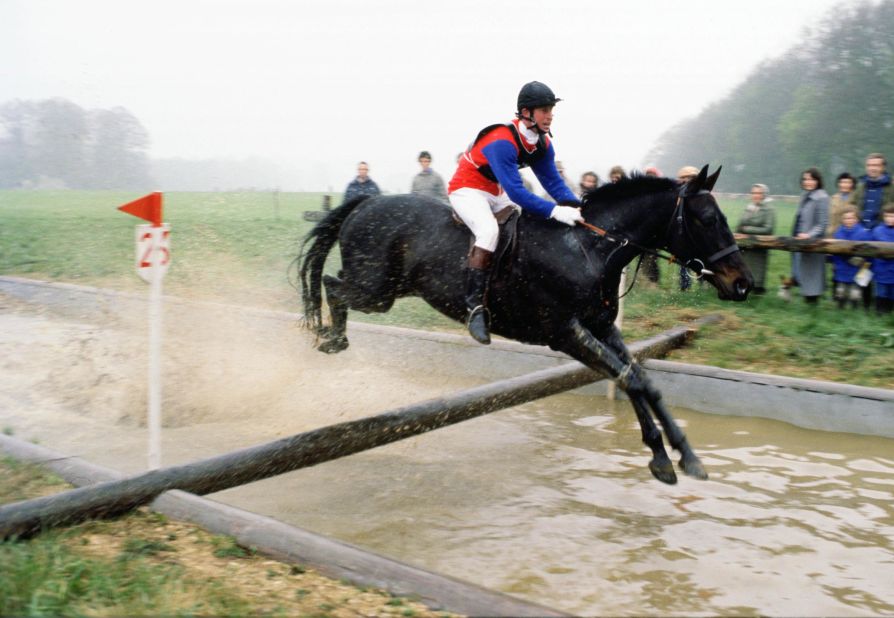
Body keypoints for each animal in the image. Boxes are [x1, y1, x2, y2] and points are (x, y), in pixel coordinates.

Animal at [300, 166, 756, 484]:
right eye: (708, 220)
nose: (743, 284)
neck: (589, 248)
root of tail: (365, 203)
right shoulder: (566, 334)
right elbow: (631, 379)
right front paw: (664, 456)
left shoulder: (602, 328)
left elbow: (641, 379)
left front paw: (683, 456)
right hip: (375, 291)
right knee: (332, 285)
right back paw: (330, 337)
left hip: (383, 290)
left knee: (333, 284)